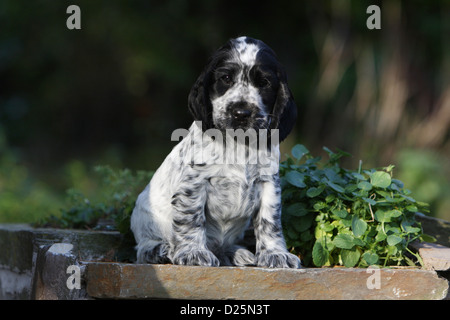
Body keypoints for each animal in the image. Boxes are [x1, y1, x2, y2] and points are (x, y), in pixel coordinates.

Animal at [130, 35, 300, 268]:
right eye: (225, 78)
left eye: (264, 83)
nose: (241, 113)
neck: (239, 143)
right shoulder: (194, 183)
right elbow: (191, 219)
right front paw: (193, 253)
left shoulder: (268, 183)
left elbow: (270, 221)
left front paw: (275, 254)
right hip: (144, 220)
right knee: (142, 249)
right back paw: (161, 251)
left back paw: (238, 253)